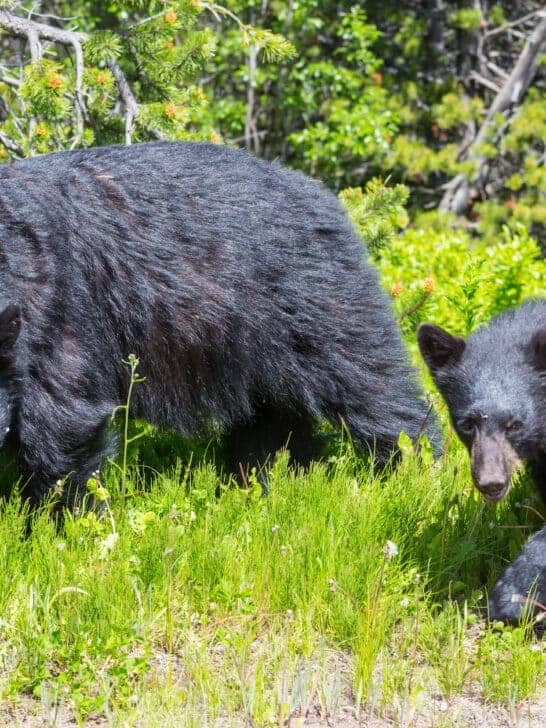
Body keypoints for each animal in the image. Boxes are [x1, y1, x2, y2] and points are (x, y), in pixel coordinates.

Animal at [0, 140, 438, 507]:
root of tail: (322, 193)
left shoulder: (55, 306)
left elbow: (62, 422)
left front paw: (55, 526)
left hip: (314, 297)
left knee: (369, 381)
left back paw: (416, 472)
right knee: (272, 420)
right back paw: (263, 482)